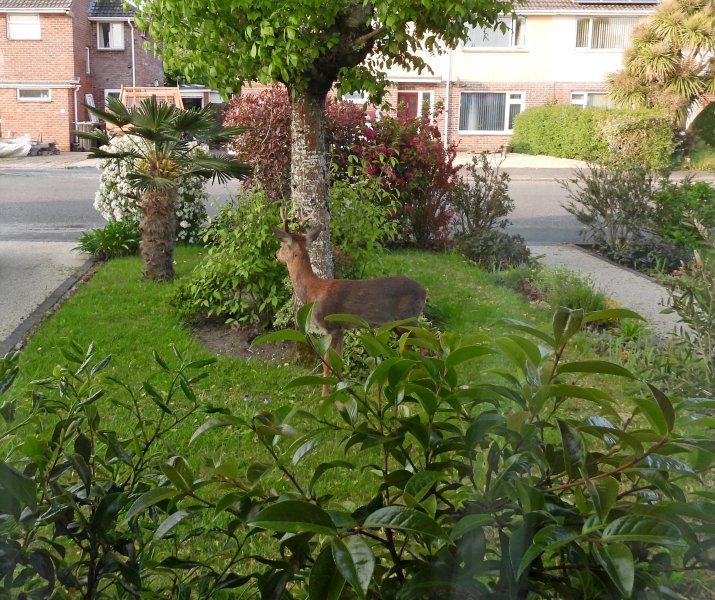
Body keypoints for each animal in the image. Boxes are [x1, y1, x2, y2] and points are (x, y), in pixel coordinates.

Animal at [271, 223, 426, 395]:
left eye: (281, 245)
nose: (276, 255)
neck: (313, 291)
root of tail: (424, 291)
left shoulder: (331, 327)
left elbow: (327, 365)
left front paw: (324, 397)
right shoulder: (341, 329)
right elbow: (338, 362)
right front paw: (340, 393)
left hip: (408, 317)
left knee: (427, 340)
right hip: (399, 324)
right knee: (410, 344)